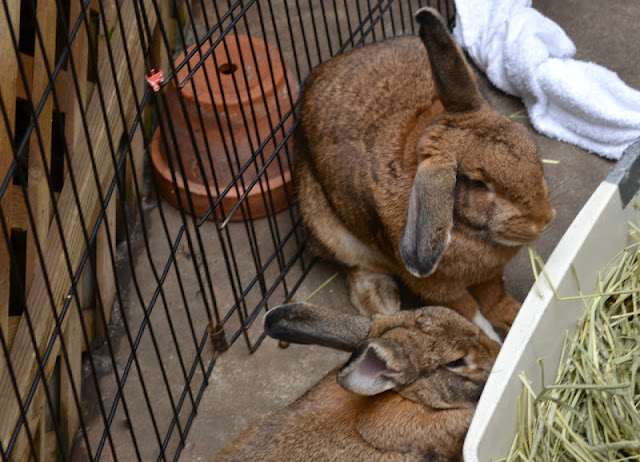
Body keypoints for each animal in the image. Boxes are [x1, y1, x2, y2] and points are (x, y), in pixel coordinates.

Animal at [293, 7, 555, 340]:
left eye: (528, 143)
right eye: (478, 184)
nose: (544, 220)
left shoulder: (490, 275)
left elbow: (494, 297)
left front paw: (515, 318)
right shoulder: (437, 287)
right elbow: (469, 314)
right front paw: (492, 341)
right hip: (327, 225)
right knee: (352, 265)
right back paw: (380, 300)